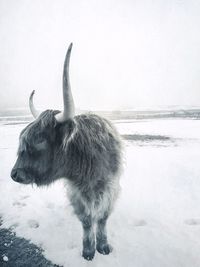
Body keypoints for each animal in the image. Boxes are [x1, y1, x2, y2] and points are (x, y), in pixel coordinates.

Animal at [10, 44, 122, 262]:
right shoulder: (76, 192)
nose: (15, 174)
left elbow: (102, 218)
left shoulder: (110, 187)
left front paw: (103, 246)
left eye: (40, 140)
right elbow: (86, 219)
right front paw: (88, 250)